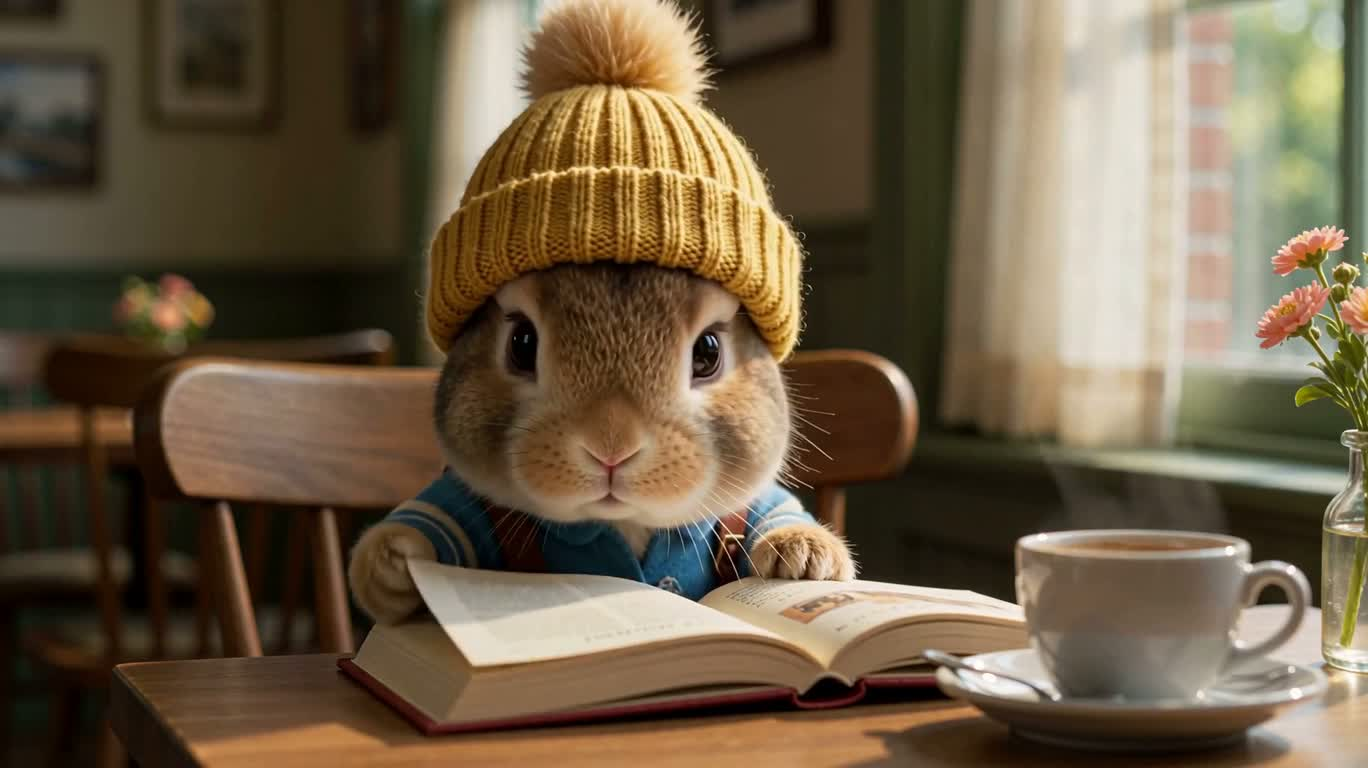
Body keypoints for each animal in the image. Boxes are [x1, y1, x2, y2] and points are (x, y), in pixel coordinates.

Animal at [348, 264, 856, 625]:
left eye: (708, 352)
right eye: (522, 342)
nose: (611, 447)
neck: (623, 523)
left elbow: (776, 509)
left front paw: (804, 557)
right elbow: (437, 519)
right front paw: (391, 564)